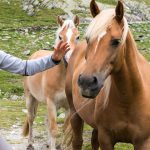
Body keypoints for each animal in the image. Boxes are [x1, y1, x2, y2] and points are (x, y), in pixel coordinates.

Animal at [22, 15, 80, 150]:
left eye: (78, 37)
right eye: (60, 37)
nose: (70, 58)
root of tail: (33, 56)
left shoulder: (68, 107)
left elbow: (64, 129)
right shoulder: (51, 103)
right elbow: (54, 130)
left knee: (46, 120)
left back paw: (47, 143)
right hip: (30, 98)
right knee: (31, 118)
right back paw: (30, 143)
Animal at [65, 0, 150, 150]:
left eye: (116, 41)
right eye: (88, 39)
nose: (86, 82)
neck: (129, 98)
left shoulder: (144, 142)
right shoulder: (106, 138)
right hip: (74, 112)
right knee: (77, 141)